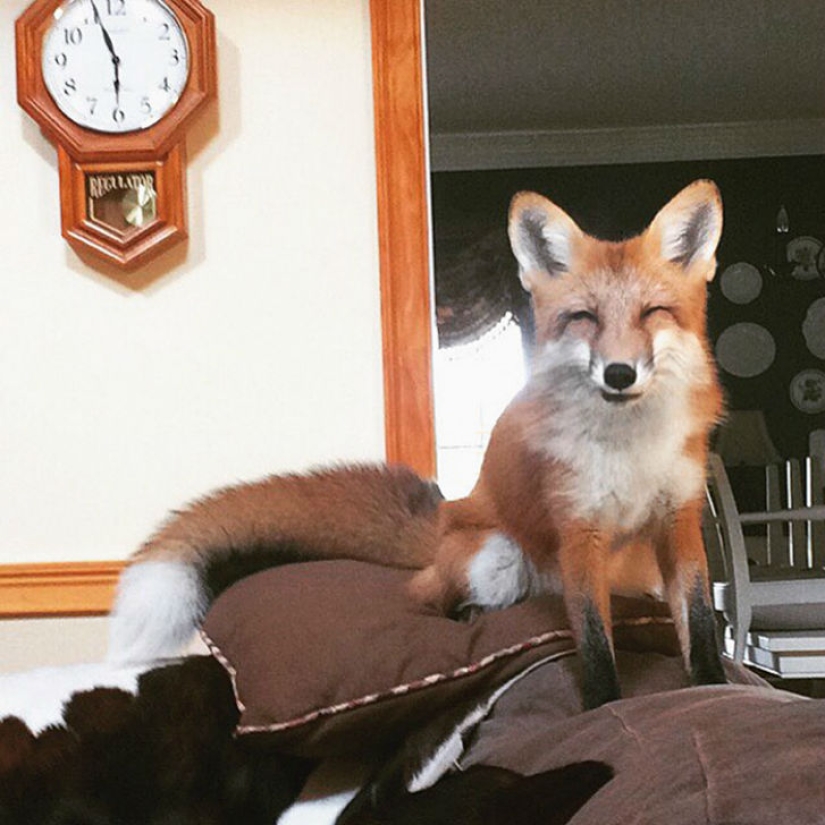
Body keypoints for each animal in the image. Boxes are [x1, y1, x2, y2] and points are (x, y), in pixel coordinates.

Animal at [109, 179, 726, 708]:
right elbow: (596, 643)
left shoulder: (679, 520)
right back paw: (469, 614)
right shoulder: (580, 531)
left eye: (653, 313)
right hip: (494, 557)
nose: (619, 374)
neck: (631, 449)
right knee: (428, 597)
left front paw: (714, 687)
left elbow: (701, 624)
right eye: (585, 318)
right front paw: (604, 707)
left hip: (626, 573)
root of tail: (449, 514)